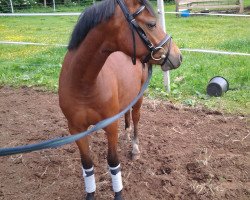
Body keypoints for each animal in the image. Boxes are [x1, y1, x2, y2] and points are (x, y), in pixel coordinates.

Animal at [58, 0, 182, 199]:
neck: (84, 84)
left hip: (138, 99)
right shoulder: (76, 129)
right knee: (127, 118)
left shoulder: (110, 126)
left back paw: (135, 149)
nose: (178, 56)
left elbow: (113, 162)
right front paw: (90, 193)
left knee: (136, 119)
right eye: (151, 24)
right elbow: (87, 165)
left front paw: (118, 193)